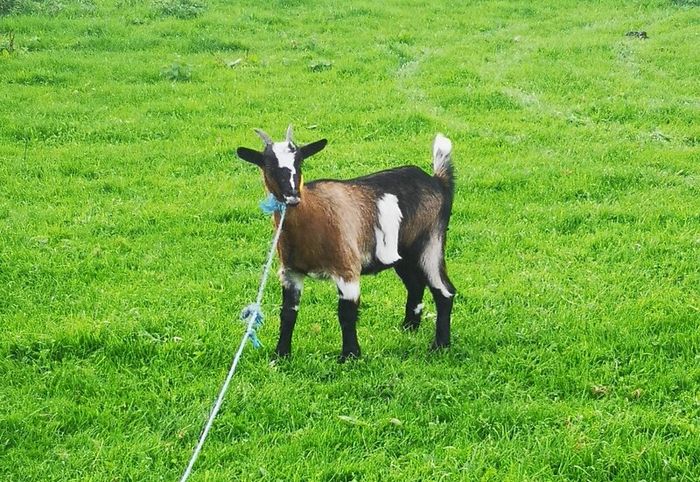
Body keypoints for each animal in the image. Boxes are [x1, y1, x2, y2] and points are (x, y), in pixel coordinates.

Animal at [236, 126, 456, 360]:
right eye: (268, 164)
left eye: (299, 161)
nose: (292, 196)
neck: (314, 213)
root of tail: (437, 181)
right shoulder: (290, 272)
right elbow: (288, 313)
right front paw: (281, 355)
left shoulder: (346, 268)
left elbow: (346, 314)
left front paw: (350, 356)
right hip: (404, 254)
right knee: (415, 284)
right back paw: (409, 328)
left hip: (431, 243)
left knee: (444, 291)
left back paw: (440, 345)